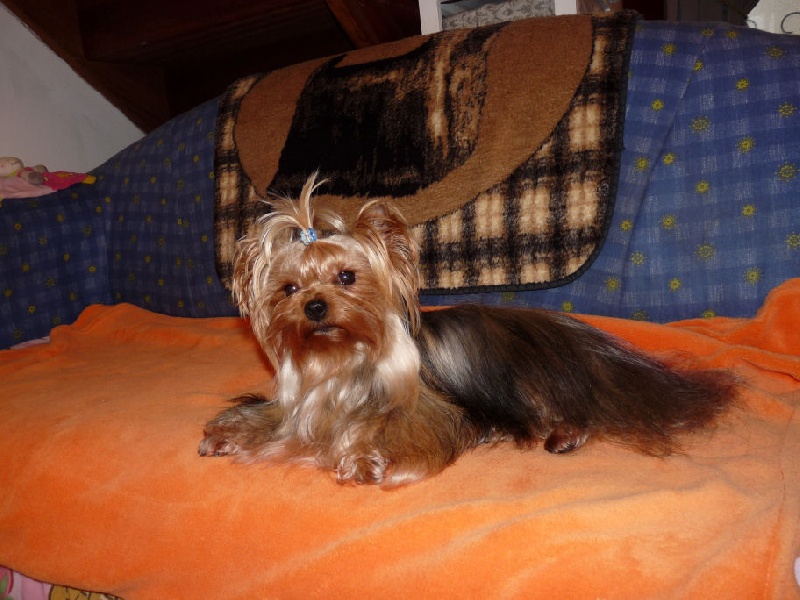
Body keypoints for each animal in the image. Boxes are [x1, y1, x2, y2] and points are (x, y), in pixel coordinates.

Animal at [199, 174, 737, 487]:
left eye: (346, 277)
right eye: (288, 288)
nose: (314, 307)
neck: (340, 360)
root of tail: (586, 339)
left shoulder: (426, 409)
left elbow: (381, 428)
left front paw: (362, 461)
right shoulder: (296, 406)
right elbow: (262, 418)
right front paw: (222, 438)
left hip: (534, 377)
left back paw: (565, 433)